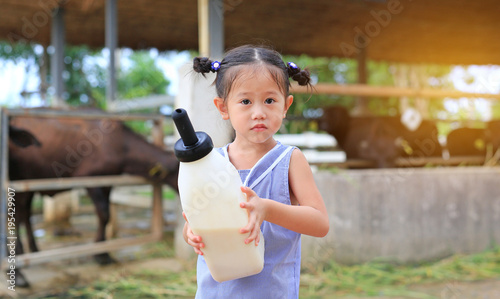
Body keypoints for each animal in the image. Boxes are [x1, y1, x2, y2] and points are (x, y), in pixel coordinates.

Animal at [6, 110, 179, 288]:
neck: (121, 145)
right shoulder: (90, 179)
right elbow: (103, 213)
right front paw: (100, 254)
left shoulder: (107, 181)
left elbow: (106, 215)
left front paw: (104, 252)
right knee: (17, 213)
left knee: (25, 213)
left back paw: (33, 249)